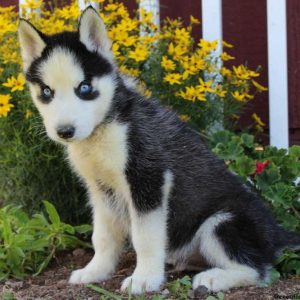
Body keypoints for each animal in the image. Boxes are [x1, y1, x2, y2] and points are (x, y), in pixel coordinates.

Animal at [18, 6, 298, 292]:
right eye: (46, 92)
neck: (106, 127)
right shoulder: (101, 190)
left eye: (84, 88)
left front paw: (144, 279)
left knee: (257, 270)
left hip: (222, 222)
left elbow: (145, 237)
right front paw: (95, 271)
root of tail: (277, 233)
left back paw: (212, 278)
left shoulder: (148, 179)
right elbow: (103, 237)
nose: (65, 131)